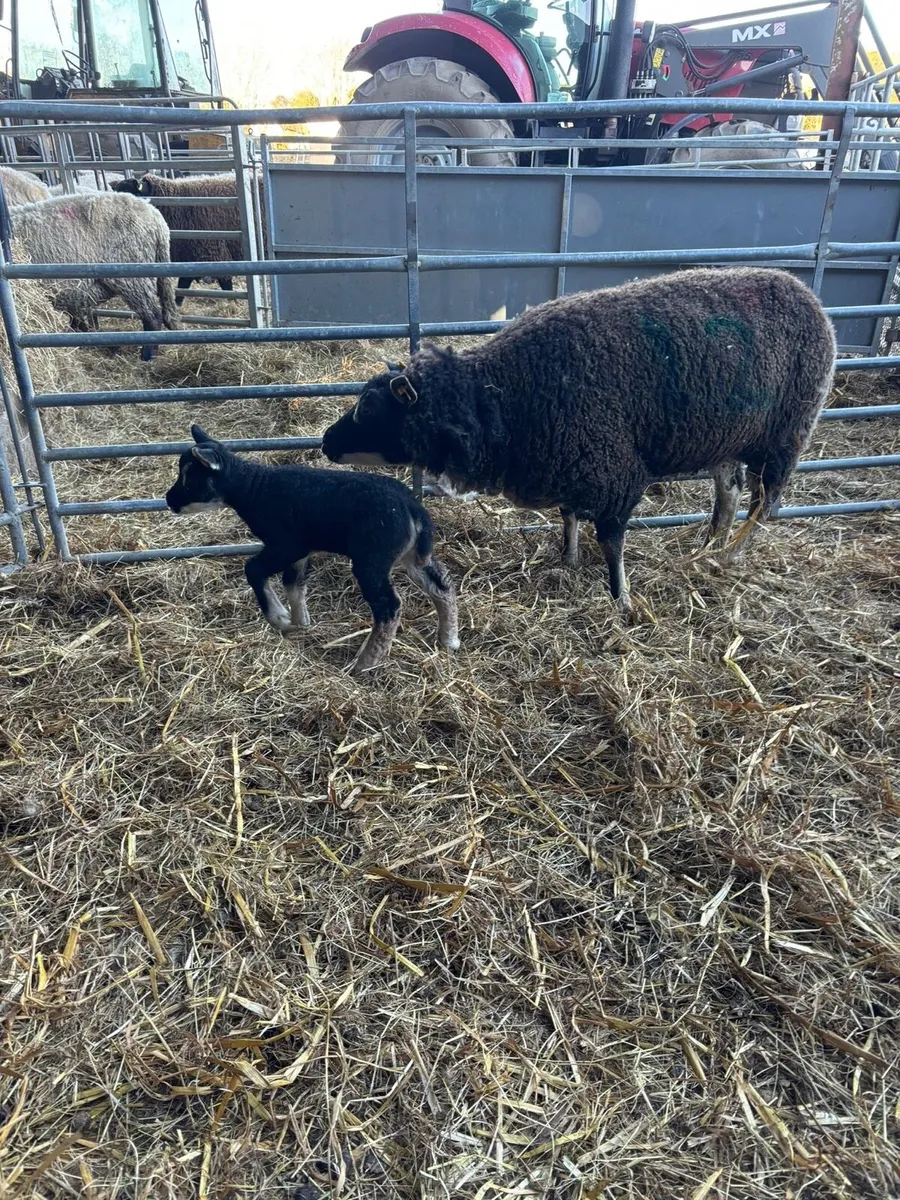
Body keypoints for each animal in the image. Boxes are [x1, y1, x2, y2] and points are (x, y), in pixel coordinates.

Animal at [112, 173, 265, 301]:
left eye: (130, 194)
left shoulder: (216, 254)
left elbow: (226, 286)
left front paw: (232, 302)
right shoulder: (189, 257)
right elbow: (182, 287)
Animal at [165, 425, 460, 673]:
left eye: (190, 480)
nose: (169, 500)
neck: (253, 489)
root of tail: (413, 509)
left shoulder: (287, 544)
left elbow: (254, 569)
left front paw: (279, 618)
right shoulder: (302, 551)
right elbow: (293, 582)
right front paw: (300, 624)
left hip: (372, 559)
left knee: (389, 607)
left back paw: (365, 663)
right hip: (412, 554)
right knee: (441, 585)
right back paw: (449, 639)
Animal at [321, 267, 837, 614]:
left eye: (368, 409)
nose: (325, 442)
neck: (502, 395)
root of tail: (808, 294)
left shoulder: (615, 472)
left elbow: (610, 539)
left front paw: (620, 597)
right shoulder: (570, 457)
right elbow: (569, 515)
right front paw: (566, 559)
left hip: (786, 433)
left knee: (765, 503)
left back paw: (730, 555)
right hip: (727, 440)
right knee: (728, 496)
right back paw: (708, 546)